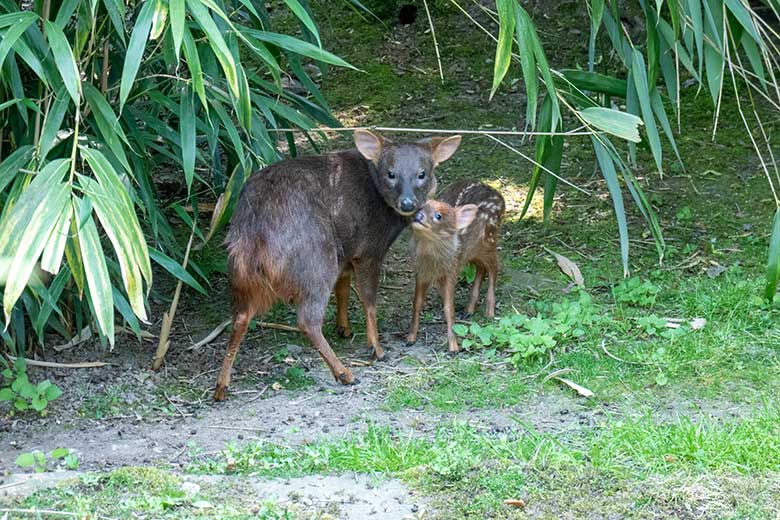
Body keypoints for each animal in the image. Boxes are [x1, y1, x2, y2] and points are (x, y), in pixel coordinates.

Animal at [213, 129, 460, 398]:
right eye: (391, 173)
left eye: (422, 173)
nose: (408, 203)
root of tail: (254, 229)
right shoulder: (369, 249)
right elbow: (368, 301)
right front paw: (376, 348)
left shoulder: (346, 252)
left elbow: (343, 289)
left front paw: (344, 328)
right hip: (316, 257)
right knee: (307, 320)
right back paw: (345, 374)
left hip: (241, 272)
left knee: (239, 317)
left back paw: (221, 387)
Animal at [402, 181, 506, 356]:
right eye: (420, 208)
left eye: (439, 216)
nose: (418, 216)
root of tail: (499, 195)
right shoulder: (421, 271)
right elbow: (417, 302)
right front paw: (410, 338)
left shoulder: (452, 270)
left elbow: (448, 307)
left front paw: (454, 347)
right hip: (473, 252)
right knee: (481, 268)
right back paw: (469, 309)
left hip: (489, 241)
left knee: (494, 268)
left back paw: (489, 312)